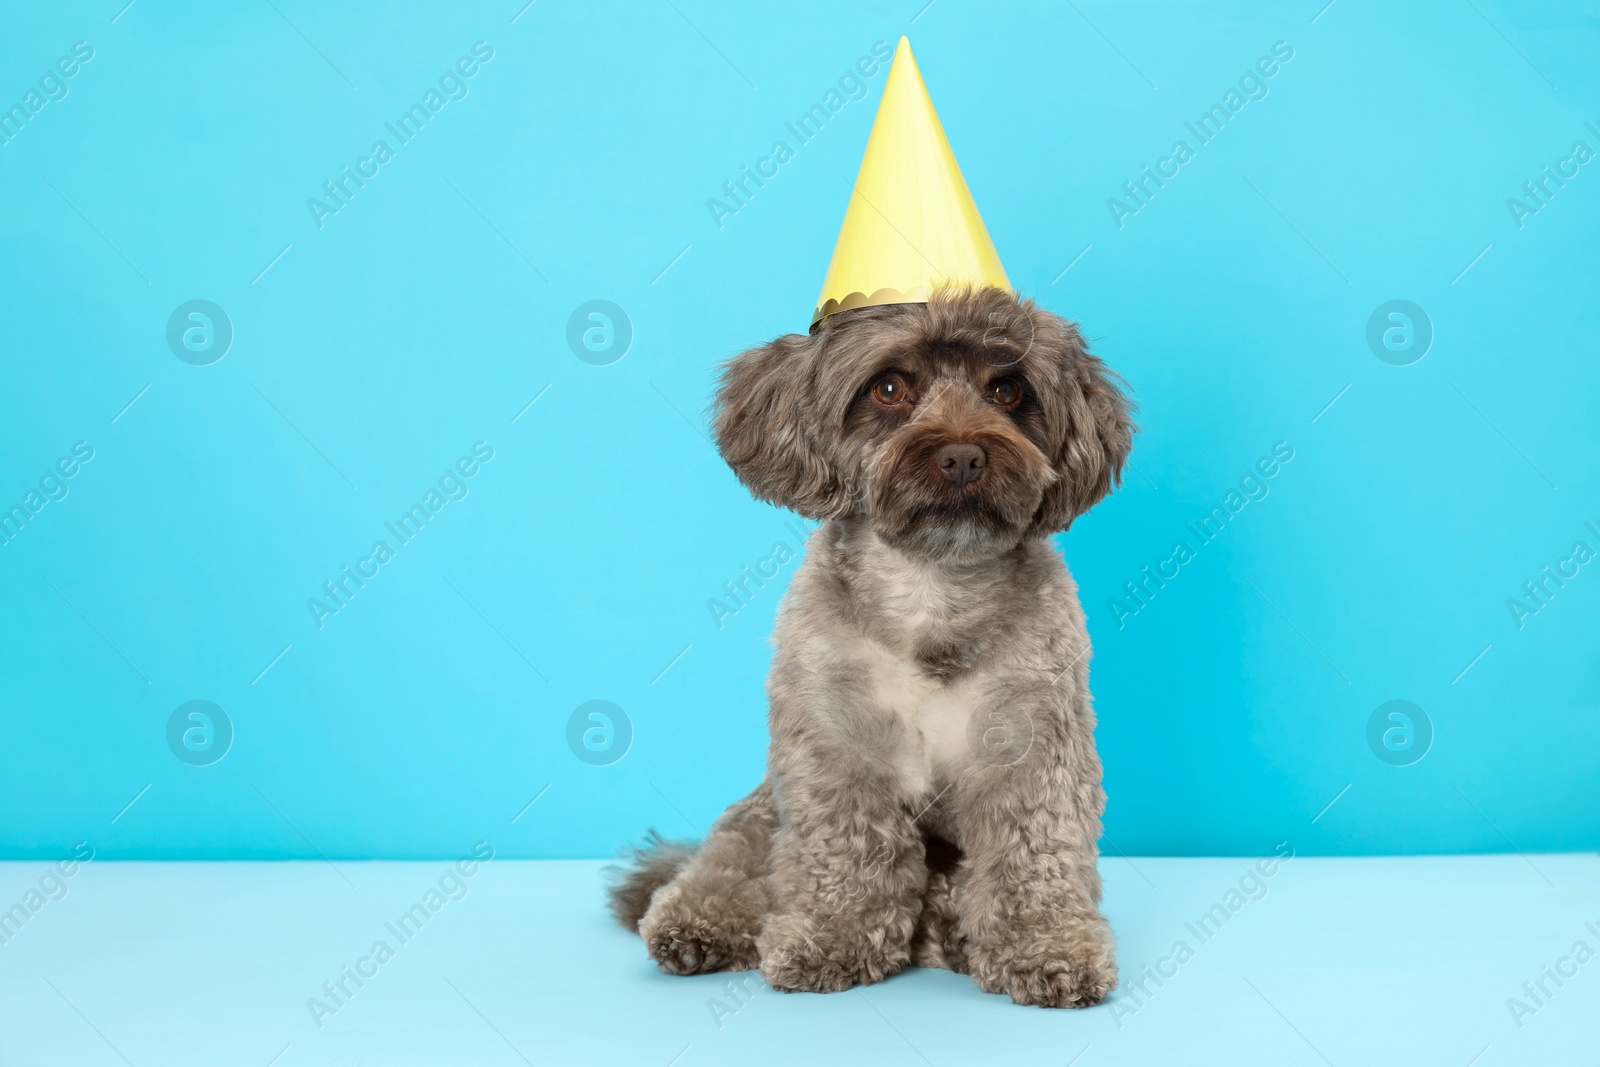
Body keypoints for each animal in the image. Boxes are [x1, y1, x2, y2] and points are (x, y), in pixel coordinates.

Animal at [601, 286, 1139, 1011]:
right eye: (889, 387)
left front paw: (1046, 947)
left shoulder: (1031, 748)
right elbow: (844, 853)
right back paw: (699, 921)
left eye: (1006, 389)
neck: (930, 585)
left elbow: (1034, 855)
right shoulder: (836, 747)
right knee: (727, 862)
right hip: (762, 811)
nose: (963, 456)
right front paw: (832, 937)